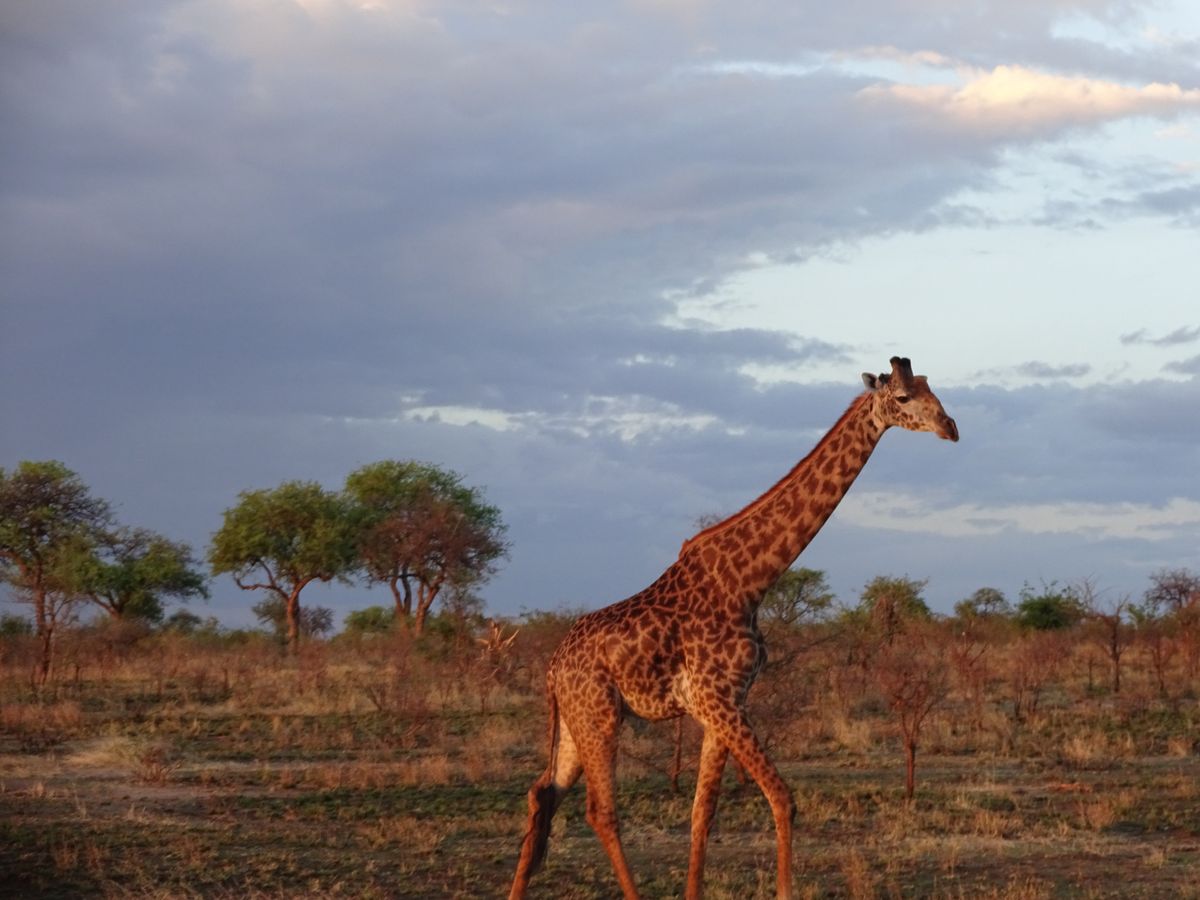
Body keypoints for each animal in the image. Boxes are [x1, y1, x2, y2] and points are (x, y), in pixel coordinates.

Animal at [509, 357, 958, 900]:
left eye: (931, 387)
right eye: (903, 398)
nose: (951, 428)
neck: (751, 582)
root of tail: (553, 668)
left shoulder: (722, 704)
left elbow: (703, 812)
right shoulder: (716, 698)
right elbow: (782, 798)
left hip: (578, 722)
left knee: (542, 793)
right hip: (598, 715)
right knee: (599, 811)